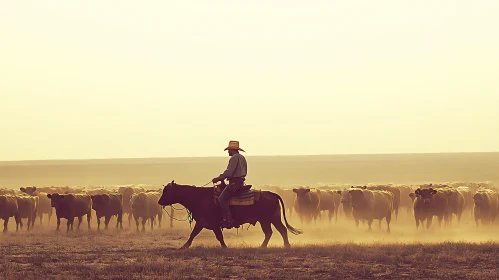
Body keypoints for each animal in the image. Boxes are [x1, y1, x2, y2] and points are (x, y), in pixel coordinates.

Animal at [158, 182, 302, 249]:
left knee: (277, 231)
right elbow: (193, 234)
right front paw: (184, 246)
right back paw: (270, 246)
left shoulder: (213, 223)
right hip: (270, 219)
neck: (199, 197)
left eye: (167, 191)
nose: (159, 201)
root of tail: (272, 194)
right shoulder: (201, 222)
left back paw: (282, 245)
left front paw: (224, 247)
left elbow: (219, 236)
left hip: (268, 219)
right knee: (275, 231)